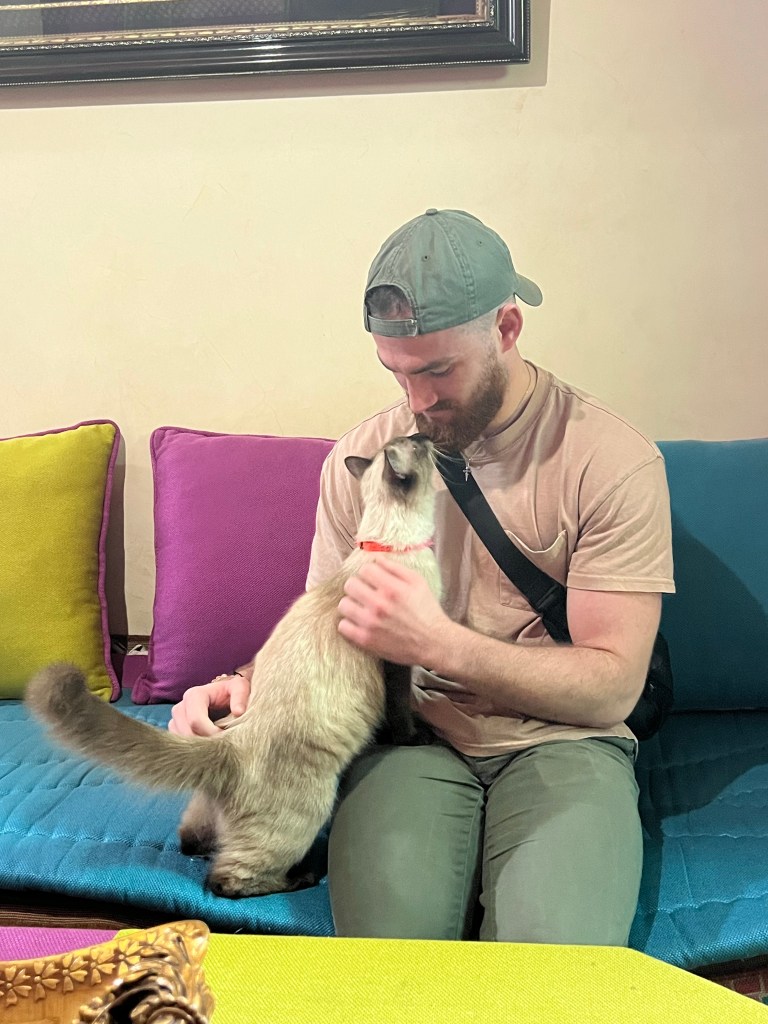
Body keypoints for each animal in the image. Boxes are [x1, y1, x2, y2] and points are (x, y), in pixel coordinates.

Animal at [25, 434, 441, 899]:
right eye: (419, 443)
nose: (426, 436)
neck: (389, 543)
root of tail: (229, 744)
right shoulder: (399, 659)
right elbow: (401, 712)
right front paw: (417, 737)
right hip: (310, 809)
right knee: (226, 880)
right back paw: (304, 875)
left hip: (209, 812)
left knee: (192, 842)